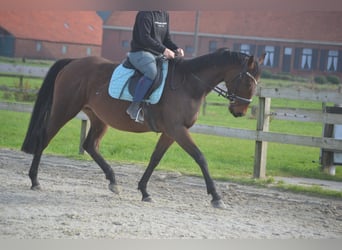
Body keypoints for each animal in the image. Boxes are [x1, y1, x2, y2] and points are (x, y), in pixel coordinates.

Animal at [22, 47, 264, 208]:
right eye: (248, 82)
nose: (240, 111)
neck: (189, 84)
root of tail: (74, 62)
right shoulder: (178, 130)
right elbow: (200, 157)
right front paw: (216, 197)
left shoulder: (170, 132)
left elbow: (155, 159)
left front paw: (144, 191)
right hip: (65, 109)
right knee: (44, 137)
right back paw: (34, 180)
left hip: (98, 118)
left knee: (90, 145)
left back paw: (113, 181)